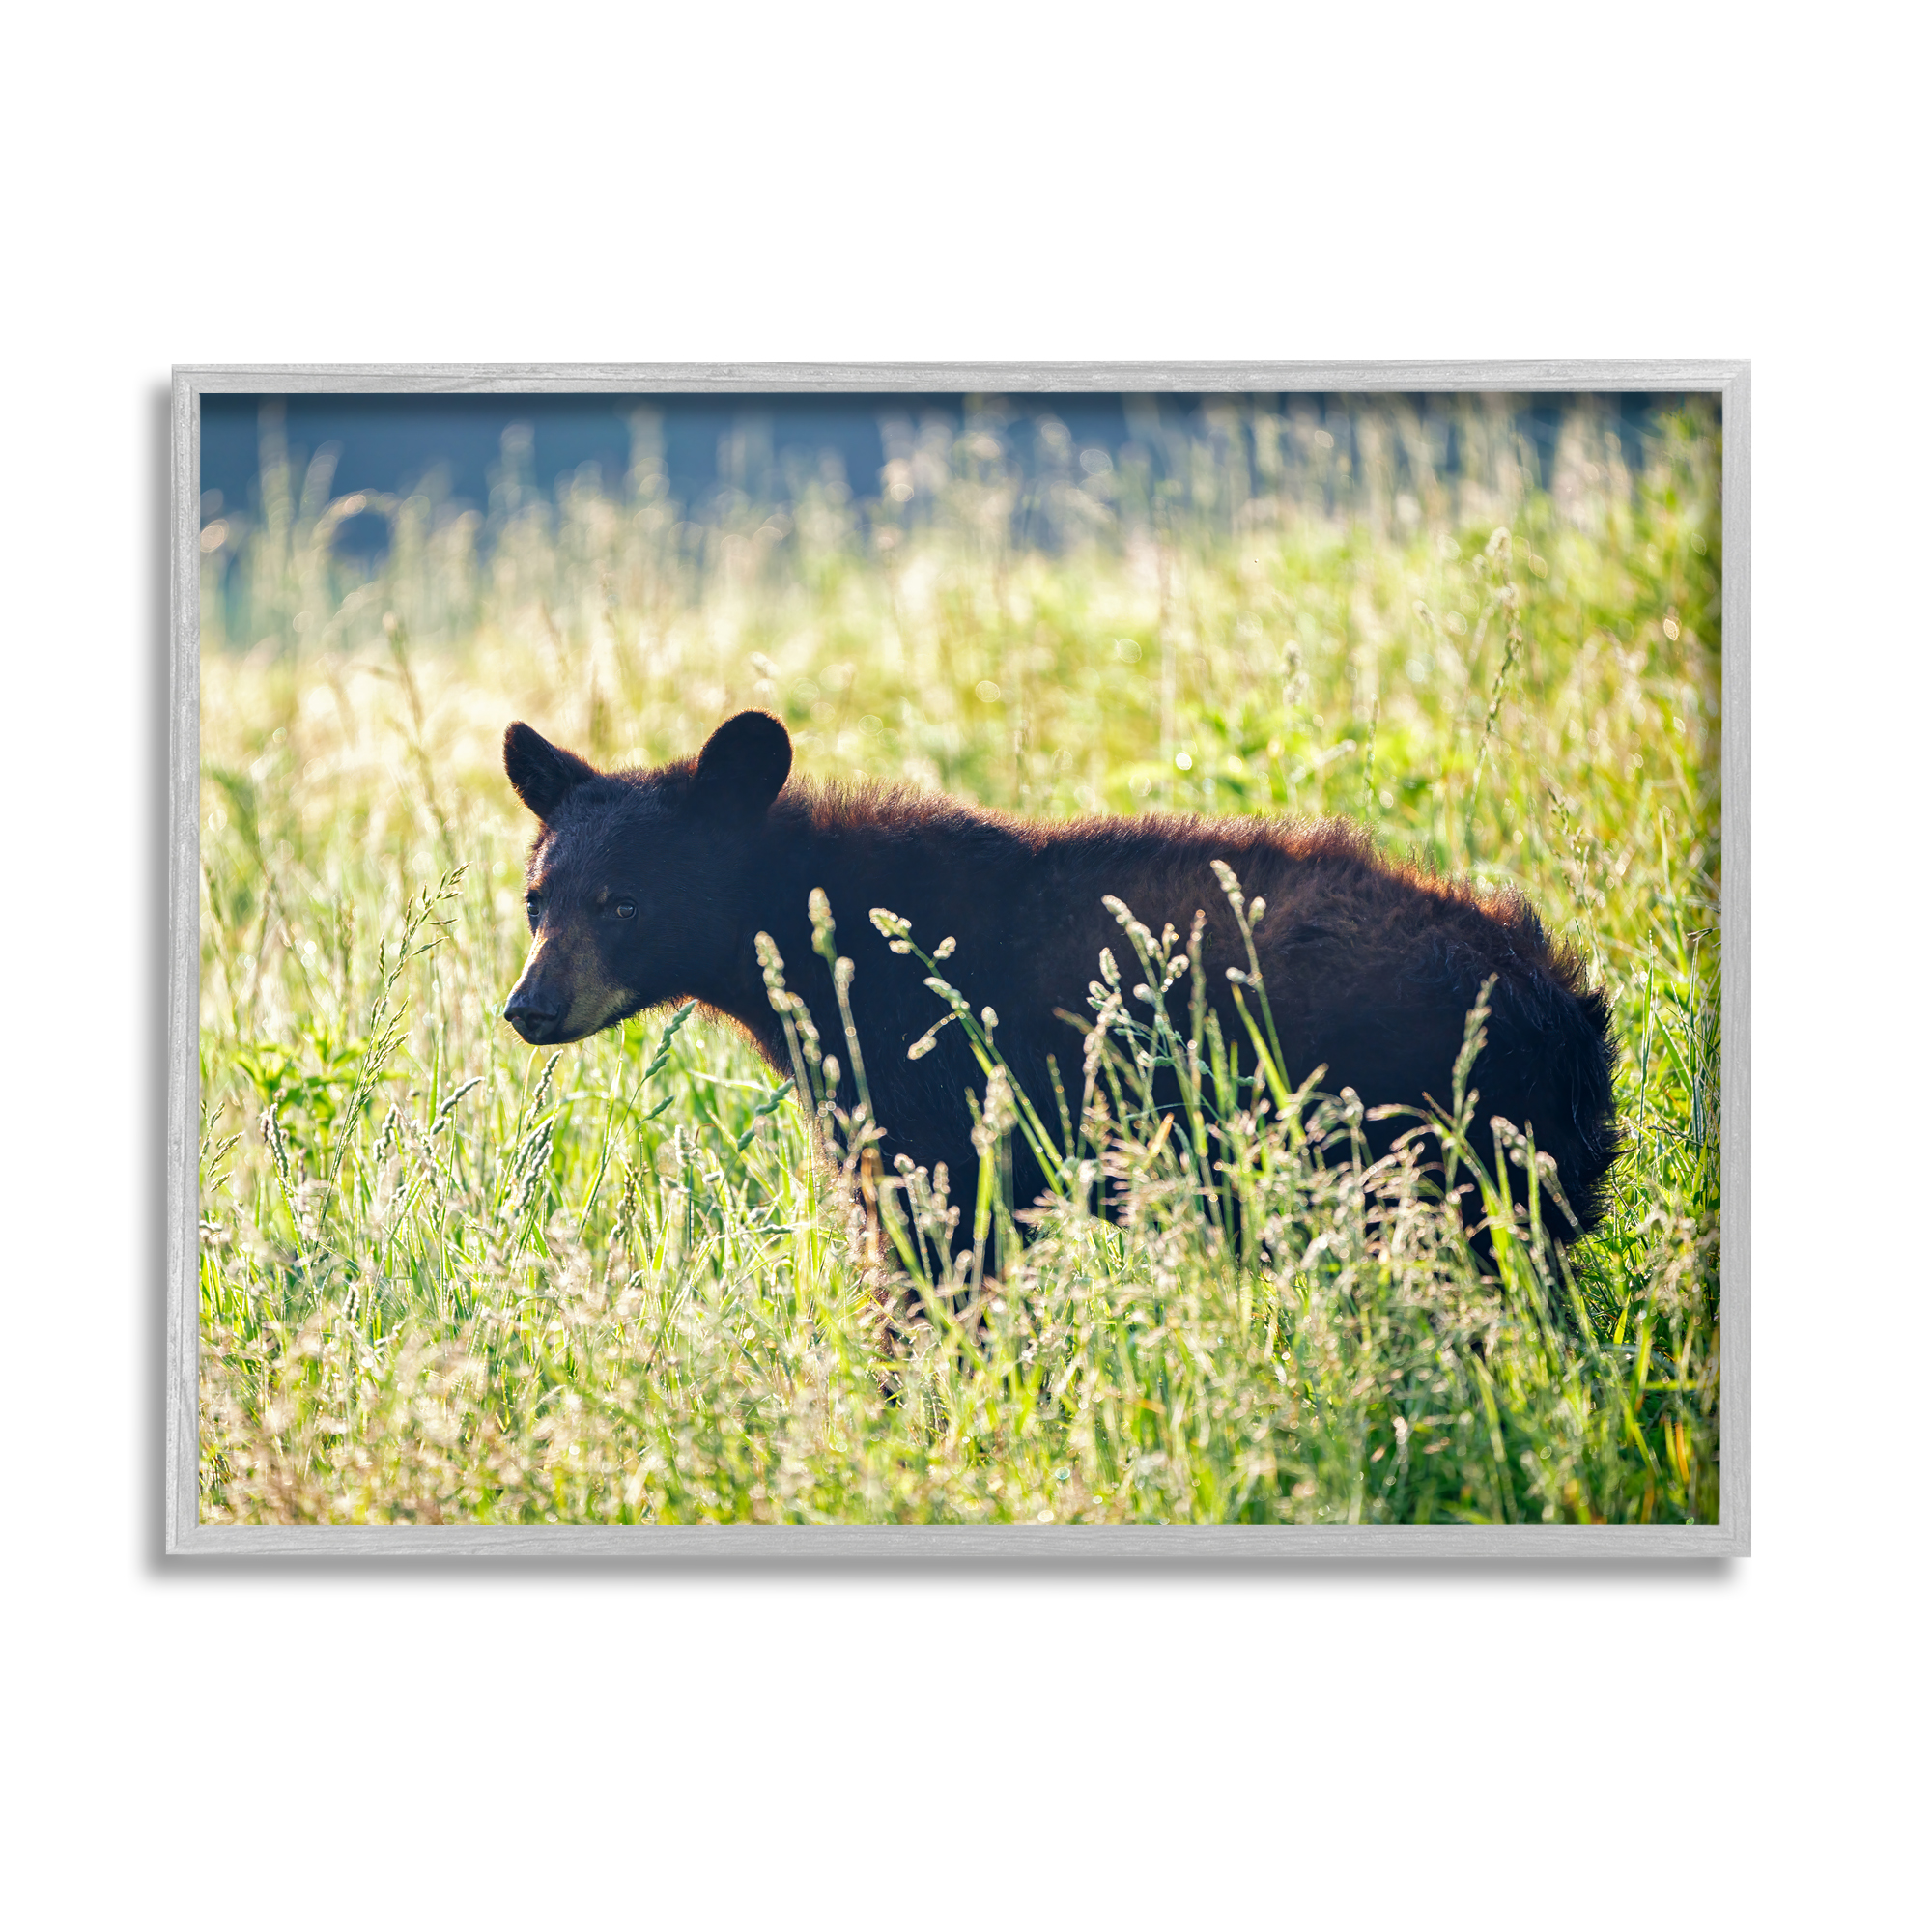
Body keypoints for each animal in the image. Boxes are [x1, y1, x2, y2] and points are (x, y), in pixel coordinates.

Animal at [501, 710, 1620, 1252]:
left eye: (624, 903)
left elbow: (936, 1255)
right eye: (536, 897)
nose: (529, 1008)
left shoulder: (937, 1097)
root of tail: (1556, 1003)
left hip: (1419, 1143)